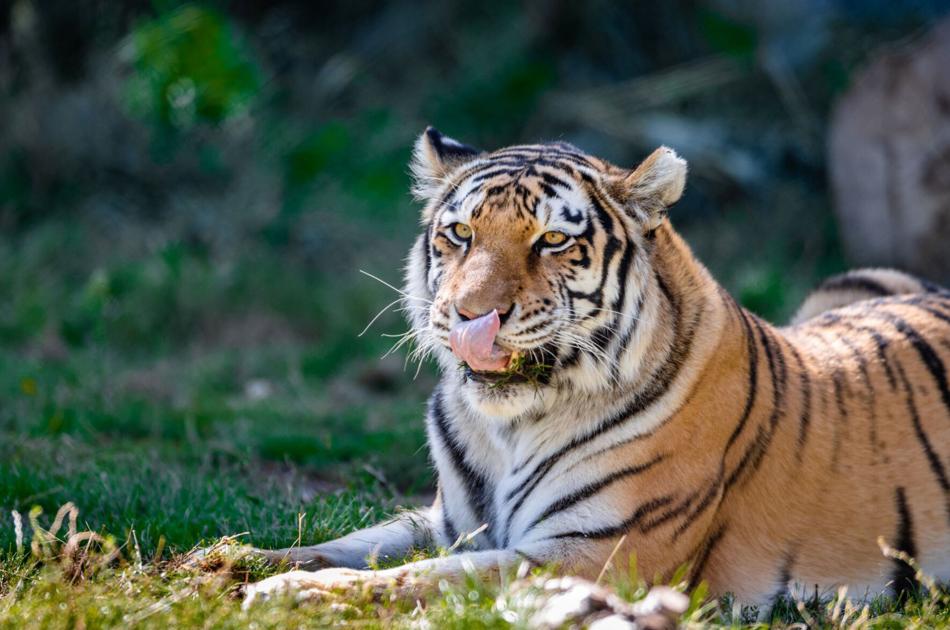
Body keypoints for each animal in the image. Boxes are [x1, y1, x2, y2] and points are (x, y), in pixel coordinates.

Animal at [242, 128, 950, 610]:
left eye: (553, 240)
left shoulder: (602, 551)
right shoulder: (446, 522)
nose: (470, 315)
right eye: (461, 233)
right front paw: (237, 561)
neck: (506, 429)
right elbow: (355, 540)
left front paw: (294, 594)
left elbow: (435, 575)